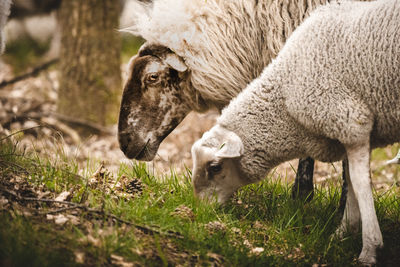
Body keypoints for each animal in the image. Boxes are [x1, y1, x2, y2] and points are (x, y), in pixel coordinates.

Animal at [191, 0, 400, 264]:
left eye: (215, 167)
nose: (200, 212)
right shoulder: (348, 132)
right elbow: (351, 179)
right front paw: (344, 232)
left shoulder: (352, 122)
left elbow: (360, 181)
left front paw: (369, 248)